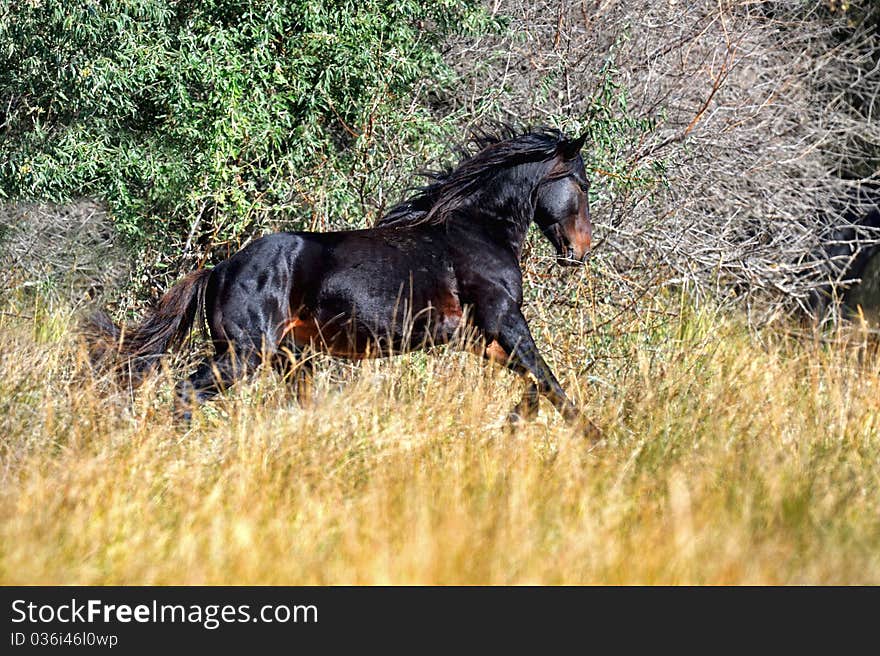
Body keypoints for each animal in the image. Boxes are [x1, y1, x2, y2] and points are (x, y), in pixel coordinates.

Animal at [87, 126, 600, 438]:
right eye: (582, 183)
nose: (580, 251)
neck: (477, 229)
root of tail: (218, 271)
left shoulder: (479, 338)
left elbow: (536, 383)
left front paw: (513, 423)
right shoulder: (506, 321)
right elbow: (550, 380)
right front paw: (593, 438)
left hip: (291, 359)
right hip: (244, 354)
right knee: (186, 391)